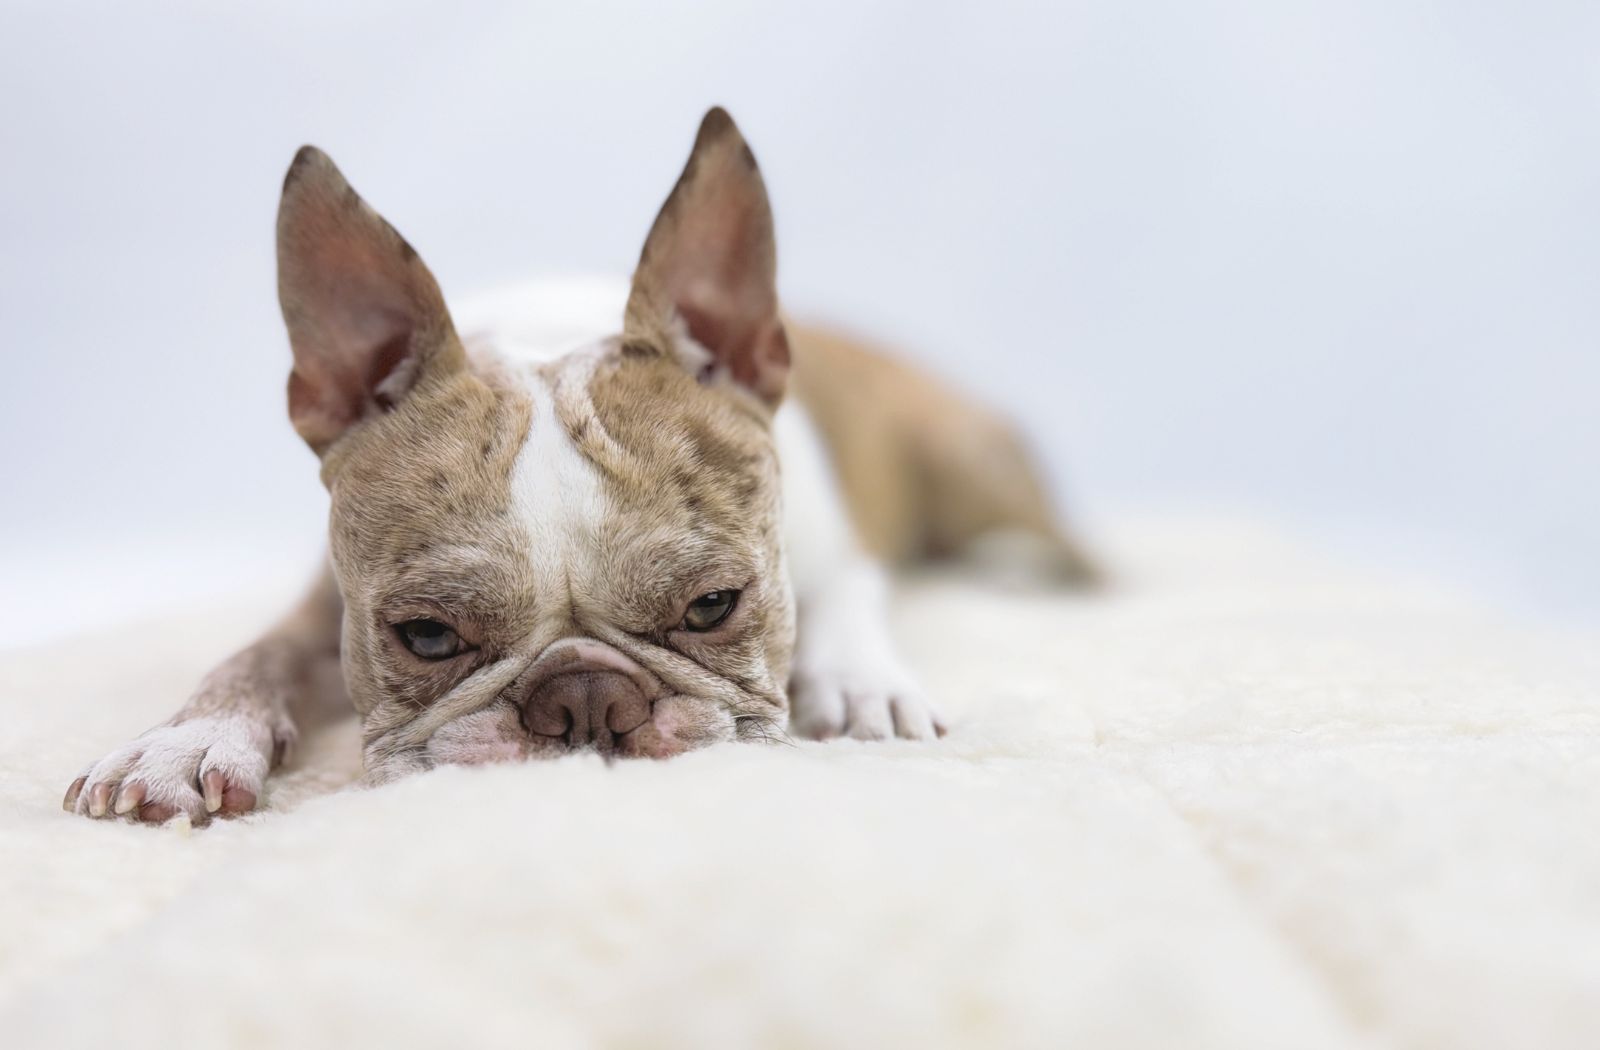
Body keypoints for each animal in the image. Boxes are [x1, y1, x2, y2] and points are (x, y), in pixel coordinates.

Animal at [62, 110, 1094, 825]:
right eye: (425, 636)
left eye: (712, 607)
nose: (587, 699)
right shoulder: (326, 609)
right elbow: (253, 655)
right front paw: (186, 738)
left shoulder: (830, 549)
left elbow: (847, 606)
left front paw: (862, 686)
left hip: (973, 466)